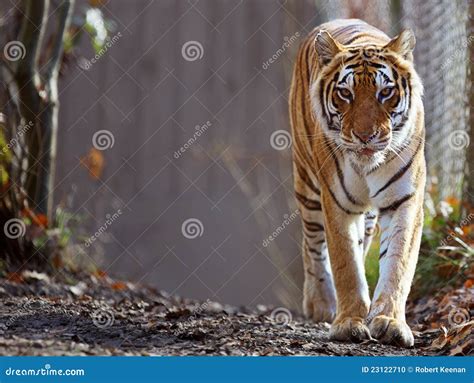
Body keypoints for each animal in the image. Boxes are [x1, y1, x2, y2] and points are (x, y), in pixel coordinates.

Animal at [288, 18, 426, 348]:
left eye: (385, 92)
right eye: (345, 94)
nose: (365, 136)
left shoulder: (404, 201)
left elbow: (397, 265)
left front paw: (389, 322)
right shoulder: (337, 202)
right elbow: (345, 265)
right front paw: (348, 323)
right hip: (308, 186)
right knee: (312, 244)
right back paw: (321, 304)